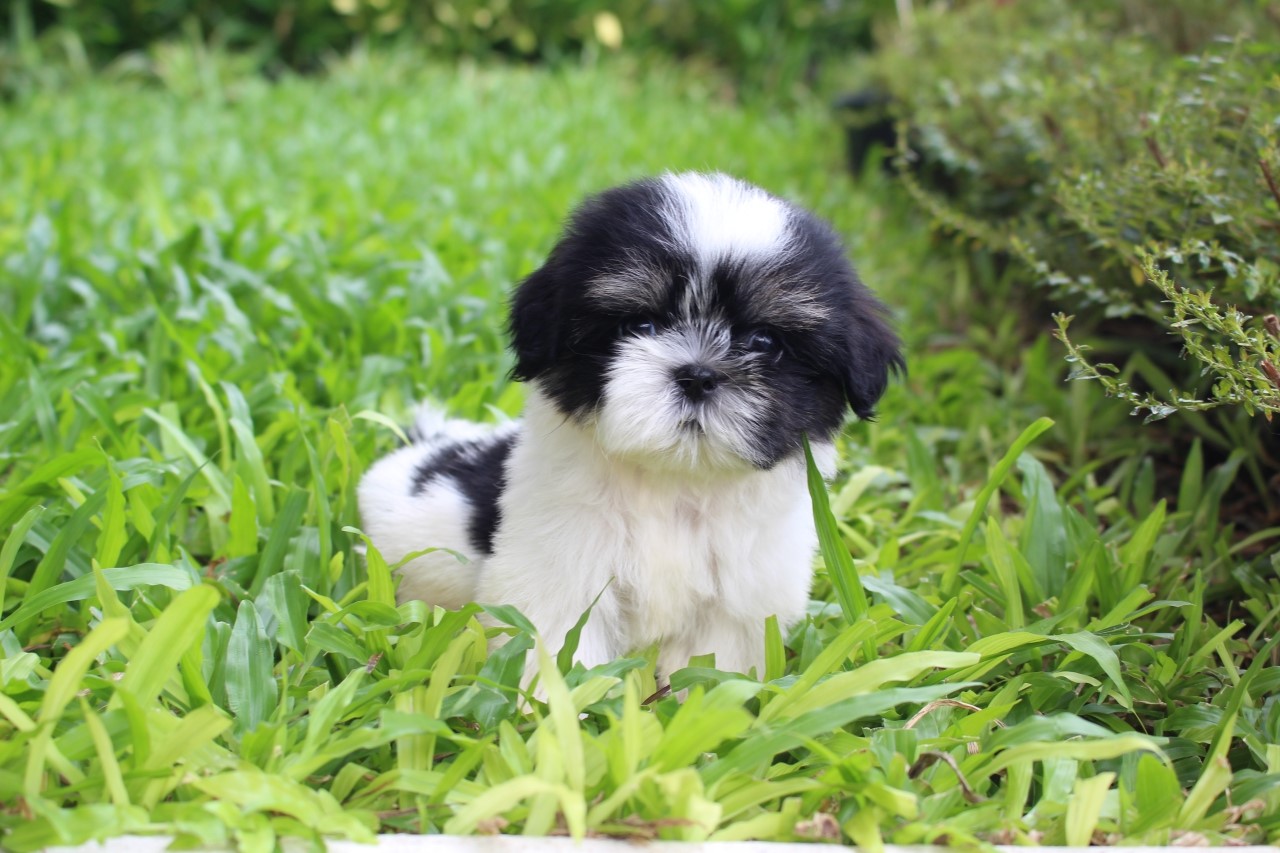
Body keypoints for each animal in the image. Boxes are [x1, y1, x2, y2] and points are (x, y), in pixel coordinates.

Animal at [358, 172, 902, 682]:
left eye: (765, 341)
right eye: (640, 326)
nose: (698, 374)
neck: (675, 483)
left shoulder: (739, 602)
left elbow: (712, 668)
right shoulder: (560, 577)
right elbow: (557, 652)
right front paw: (552, 713)